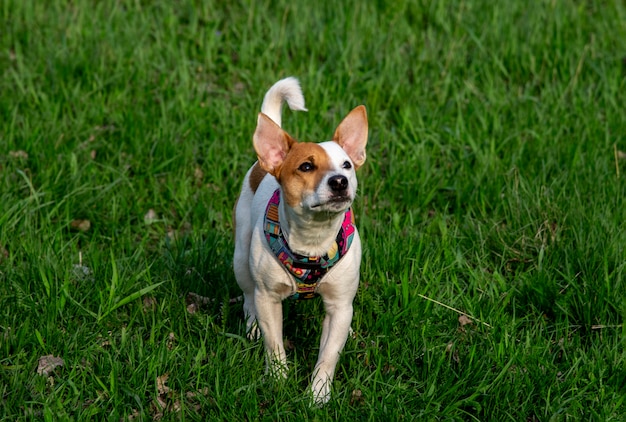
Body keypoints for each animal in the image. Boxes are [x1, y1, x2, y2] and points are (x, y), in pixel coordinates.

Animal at [233, 77, 366, 404]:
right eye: (306, 166)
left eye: (347, 165)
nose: (339, 181)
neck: (314, 239)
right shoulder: (268, 299)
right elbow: (274, 344)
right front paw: (278, 380)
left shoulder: (339, 305)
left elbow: (328, 354)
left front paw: (318, 394)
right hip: (241, 258)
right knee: (248, 296)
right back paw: (251, 326)